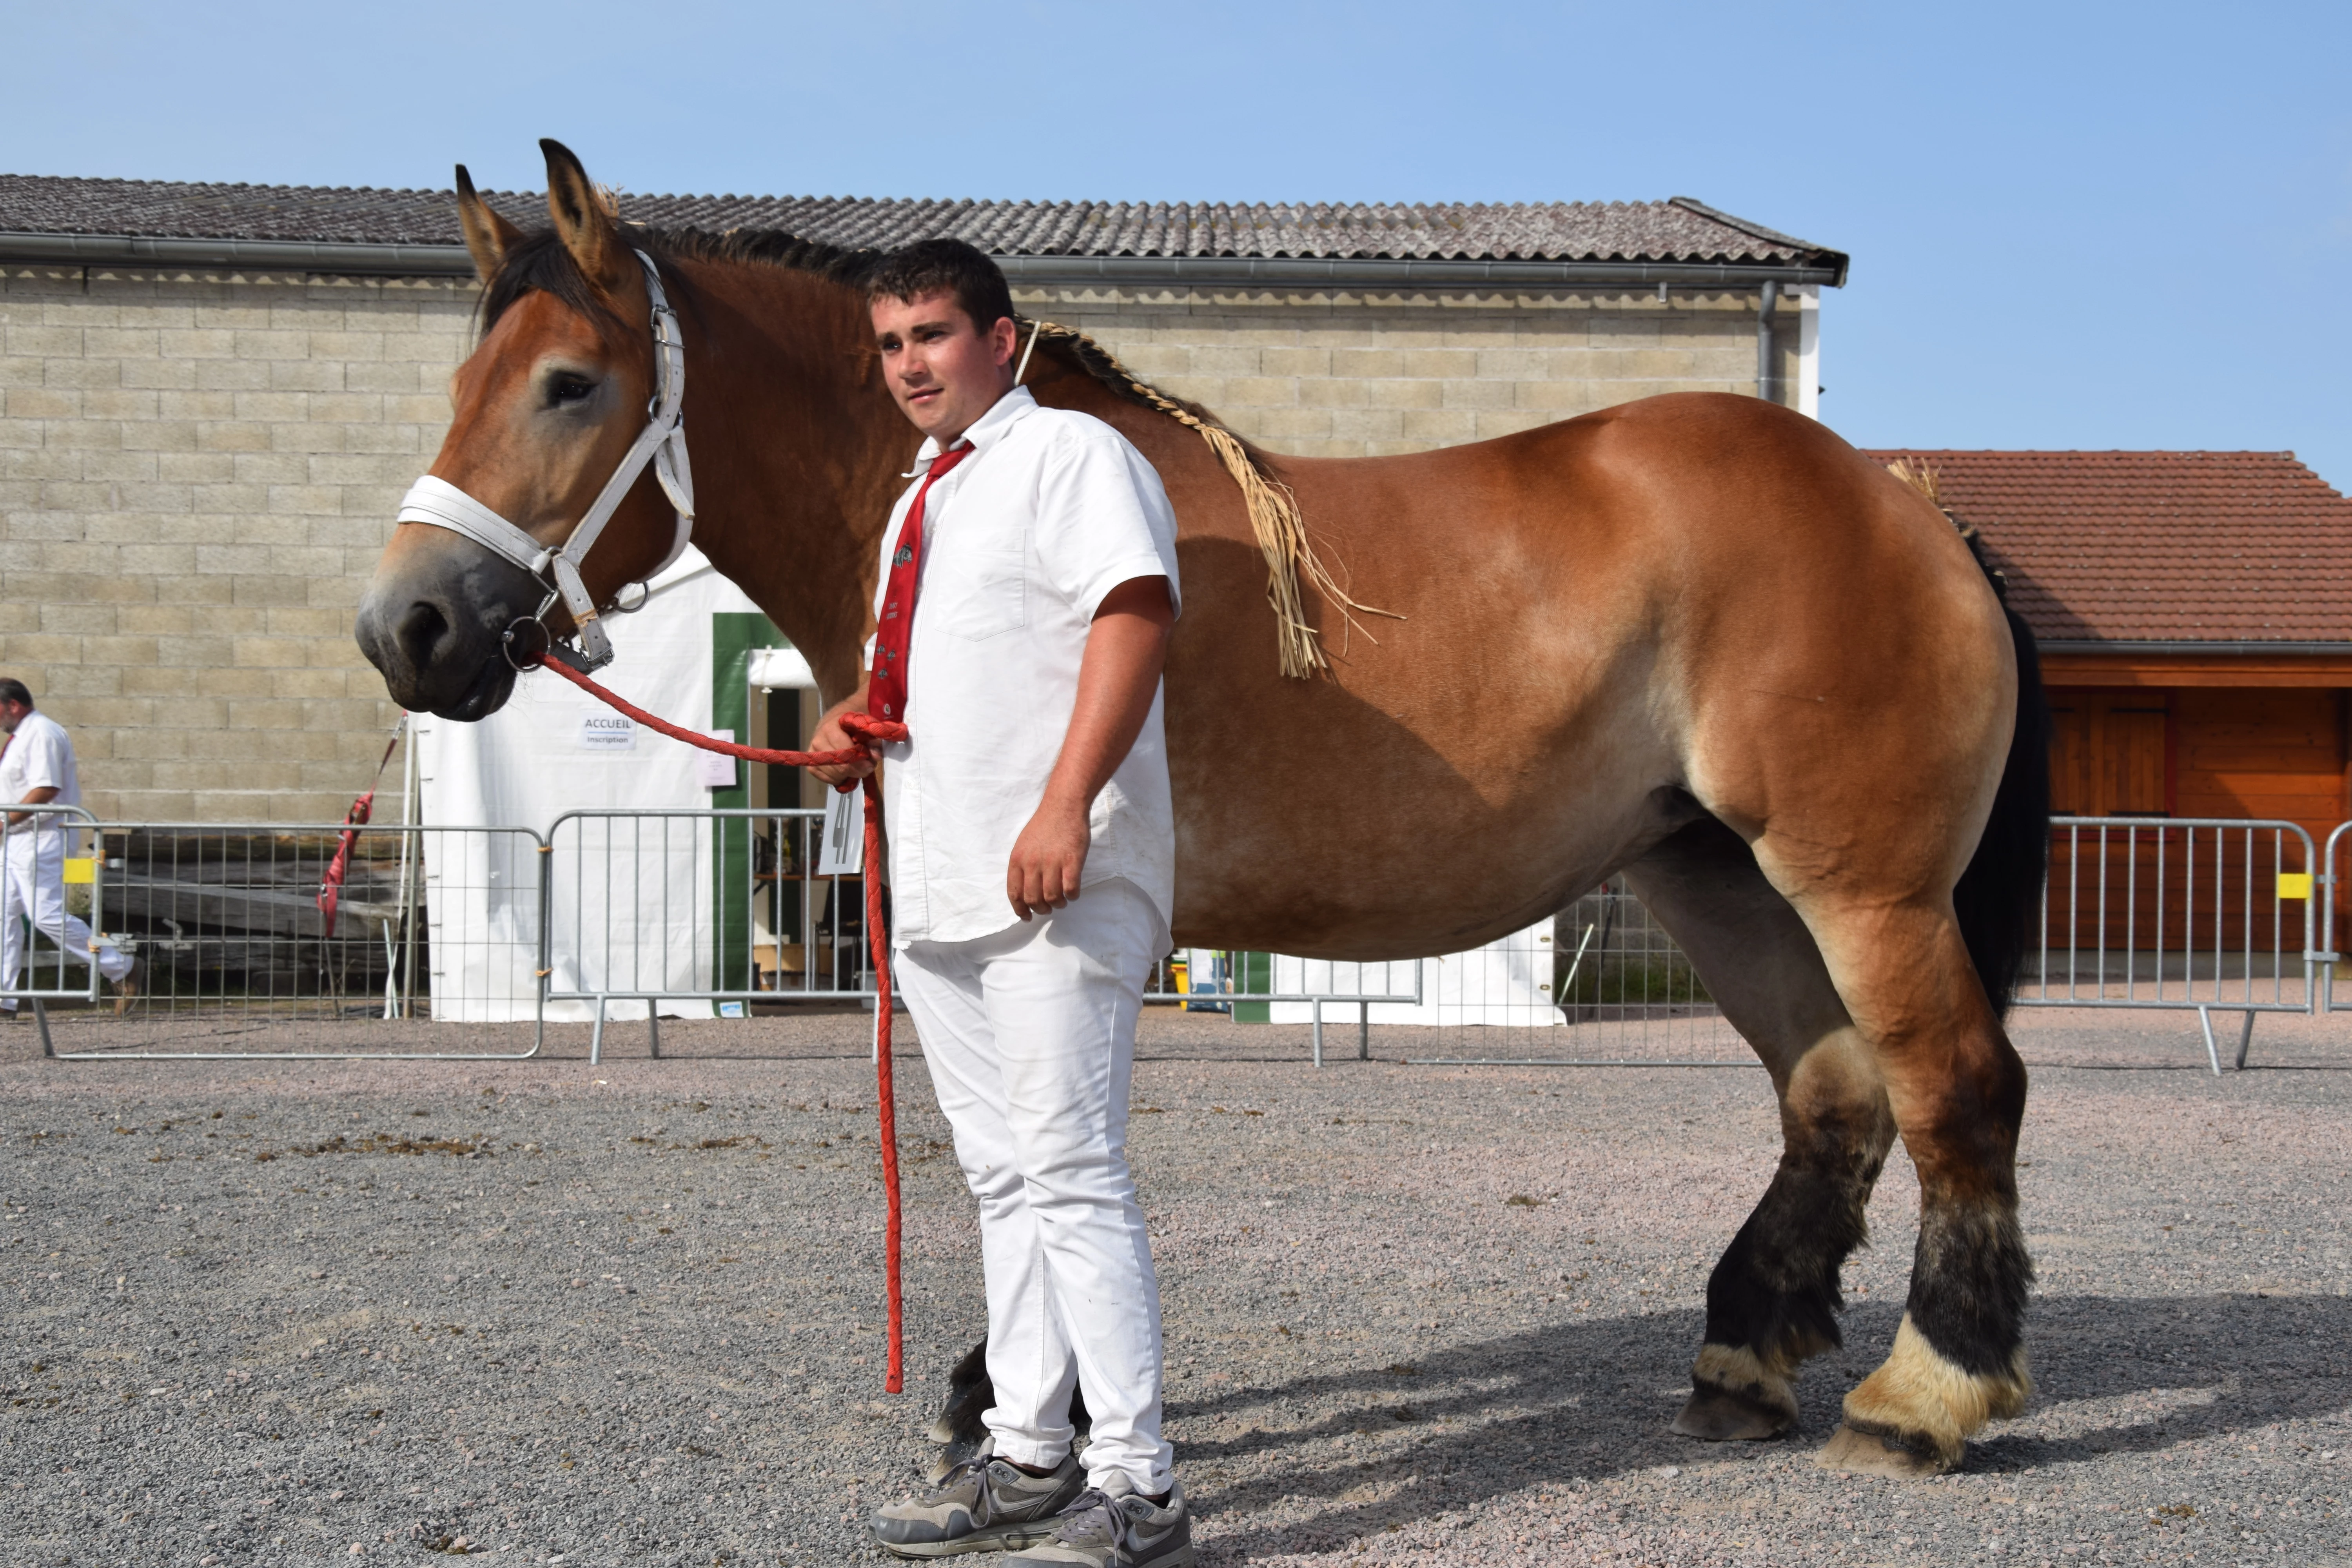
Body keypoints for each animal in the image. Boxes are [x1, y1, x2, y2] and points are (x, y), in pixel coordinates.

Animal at [356, 140, 2050, 1480]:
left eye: (571, 384)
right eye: (460, 383)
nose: (407, 629)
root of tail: (1899, 503)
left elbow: (1048, 1150)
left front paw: (1011, 1398)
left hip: (1864, 886)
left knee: (1958, 1090)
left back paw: (1926, 1394)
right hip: (1719, 874)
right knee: (1833, 1096)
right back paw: (1746, 1361)